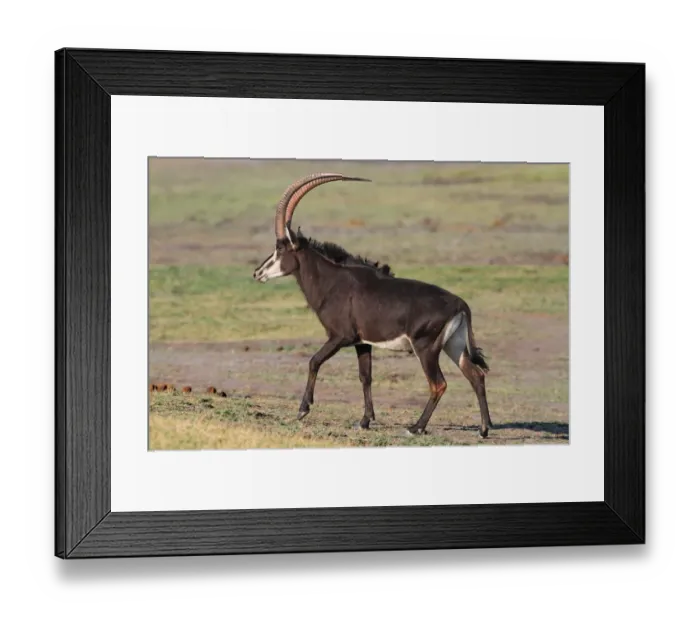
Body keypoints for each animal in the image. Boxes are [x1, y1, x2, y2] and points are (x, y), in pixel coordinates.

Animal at [253, 173, 493, 437]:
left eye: (280, 248)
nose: (257, 273)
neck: (333, 281)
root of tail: (460, 304)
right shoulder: (362, 342)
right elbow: (365, 377)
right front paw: (365, 420)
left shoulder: (341, 336)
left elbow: (313, 361)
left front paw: (303, 409)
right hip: (453, 345)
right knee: (476, 376)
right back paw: (483, 429)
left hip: (426, 348)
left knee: (438, 384)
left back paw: (416, 427)